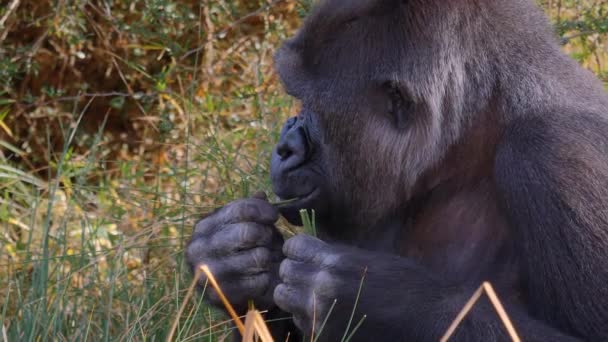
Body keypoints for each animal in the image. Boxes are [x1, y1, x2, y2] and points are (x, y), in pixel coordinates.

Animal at [185, 0, 608, 340]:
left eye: (307, 102)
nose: (284, 147)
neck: (467, 142)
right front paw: (226, 258)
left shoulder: (556, 155)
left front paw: (372, 301)